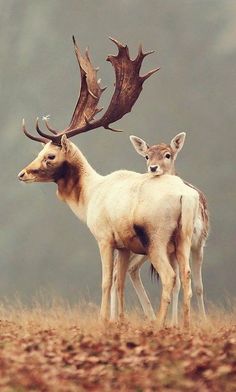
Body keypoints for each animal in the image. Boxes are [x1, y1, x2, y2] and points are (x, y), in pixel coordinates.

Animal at [18, 36, 199, 328]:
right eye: (39, 151)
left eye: (50, 156)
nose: (22, 173)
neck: (89, 196)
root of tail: (187, 196)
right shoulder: (124, 244)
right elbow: (119, 282)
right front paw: (120, 320)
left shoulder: (103, 236)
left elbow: (105, 281)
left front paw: (103, 319)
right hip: (183, 237)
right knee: (187, 276)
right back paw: (184, 326)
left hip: (157, 237)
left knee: (170, 276)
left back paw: (159, 325)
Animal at [111, 133, 209, 326]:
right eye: (147, 156)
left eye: (167, 154)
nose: (153, 168)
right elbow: (179, 283)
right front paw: (174, 323)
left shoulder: (199, 242)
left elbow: (197, 286)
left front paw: (200, 320)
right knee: (118, 272)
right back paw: (114, 319)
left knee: (129, 270)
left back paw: (146, 317)